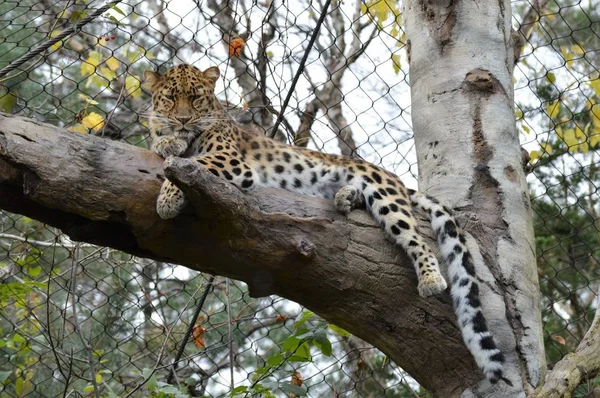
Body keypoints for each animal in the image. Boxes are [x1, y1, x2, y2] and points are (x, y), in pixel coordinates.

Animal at [144, 63, 506, 384]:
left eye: (196, 98)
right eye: (171, 98)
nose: (183, 118)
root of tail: (393, 178)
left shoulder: (232, 160)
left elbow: (194, 163)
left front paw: (167, 199)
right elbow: (168, 146)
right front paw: (167, 141)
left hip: (387, 197)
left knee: (417, 240)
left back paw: (429, 278)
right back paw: (345, 197)